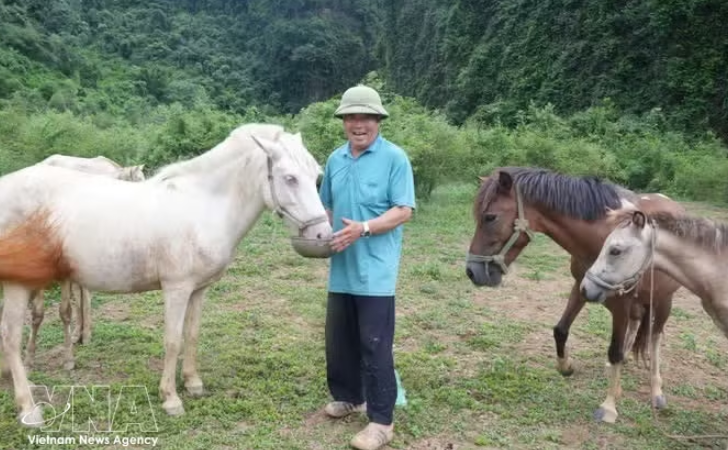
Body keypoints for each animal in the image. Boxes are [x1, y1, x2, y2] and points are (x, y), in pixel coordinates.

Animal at [0, 123, 333, 426]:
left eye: (315, 175)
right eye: (290, 178)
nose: (322, 236)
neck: (204, 206)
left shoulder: (199, 290)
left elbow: (192, 334)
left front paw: (193, 383)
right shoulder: (177, 289)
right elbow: (172, 340)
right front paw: (170, 399)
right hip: (18, 284)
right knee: (11, 337)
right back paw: (29, 408)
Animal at [465, 167, 684, 423]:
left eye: (490, 217)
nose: (472, 271)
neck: (601, 237)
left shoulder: (622, 302)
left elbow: (615, 350)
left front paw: (609, 407)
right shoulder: (581, 287)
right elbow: (561, 330)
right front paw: (566, 366)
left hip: (664, 301)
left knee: (655, 339)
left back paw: (656, 390)